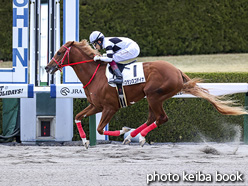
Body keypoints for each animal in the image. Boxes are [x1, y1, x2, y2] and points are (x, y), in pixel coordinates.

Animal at [45, 40, 247, 149]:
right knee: (152, 118)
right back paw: (134, 136)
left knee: (161, 118)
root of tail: (177, 70)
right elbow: (78, 117)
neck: (95, 75)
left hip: (154, 95)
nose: (47, 67)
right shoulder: (96, 105)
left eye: (60, 52)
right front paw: (85, 141)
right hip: (153, 97)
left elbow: (100, 129)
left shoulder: (110, 107)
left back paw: (136, 136)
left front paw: (122, 131)